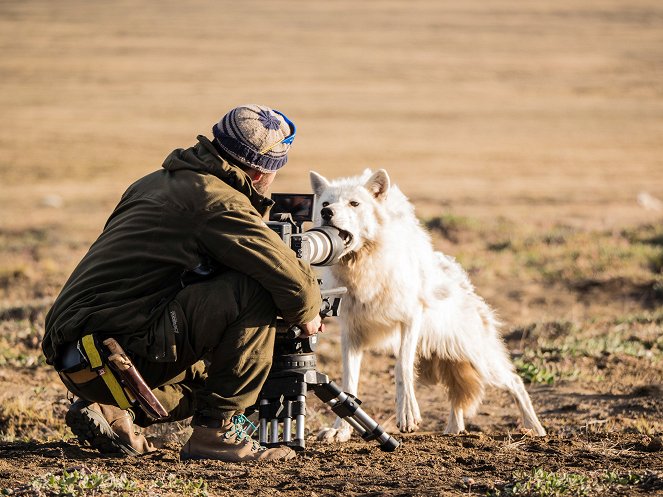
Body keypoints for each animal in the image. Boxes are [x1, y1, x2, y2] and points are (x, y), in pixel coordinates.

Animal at [308, 169, 548, 440]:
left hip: (480, 360)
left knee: (515, 381)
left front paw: (407, 416)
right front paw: (340, 431)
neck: (363, 267)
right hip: (441, 364)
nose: (327, 213)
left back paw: (535, 428)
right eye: (325, 204)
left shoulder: (410, 319)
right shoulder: (351, 334)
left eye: (354, 204)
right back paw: (454, 431)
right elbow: (348, 384)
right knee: (456, 395)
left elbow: (401, 368)